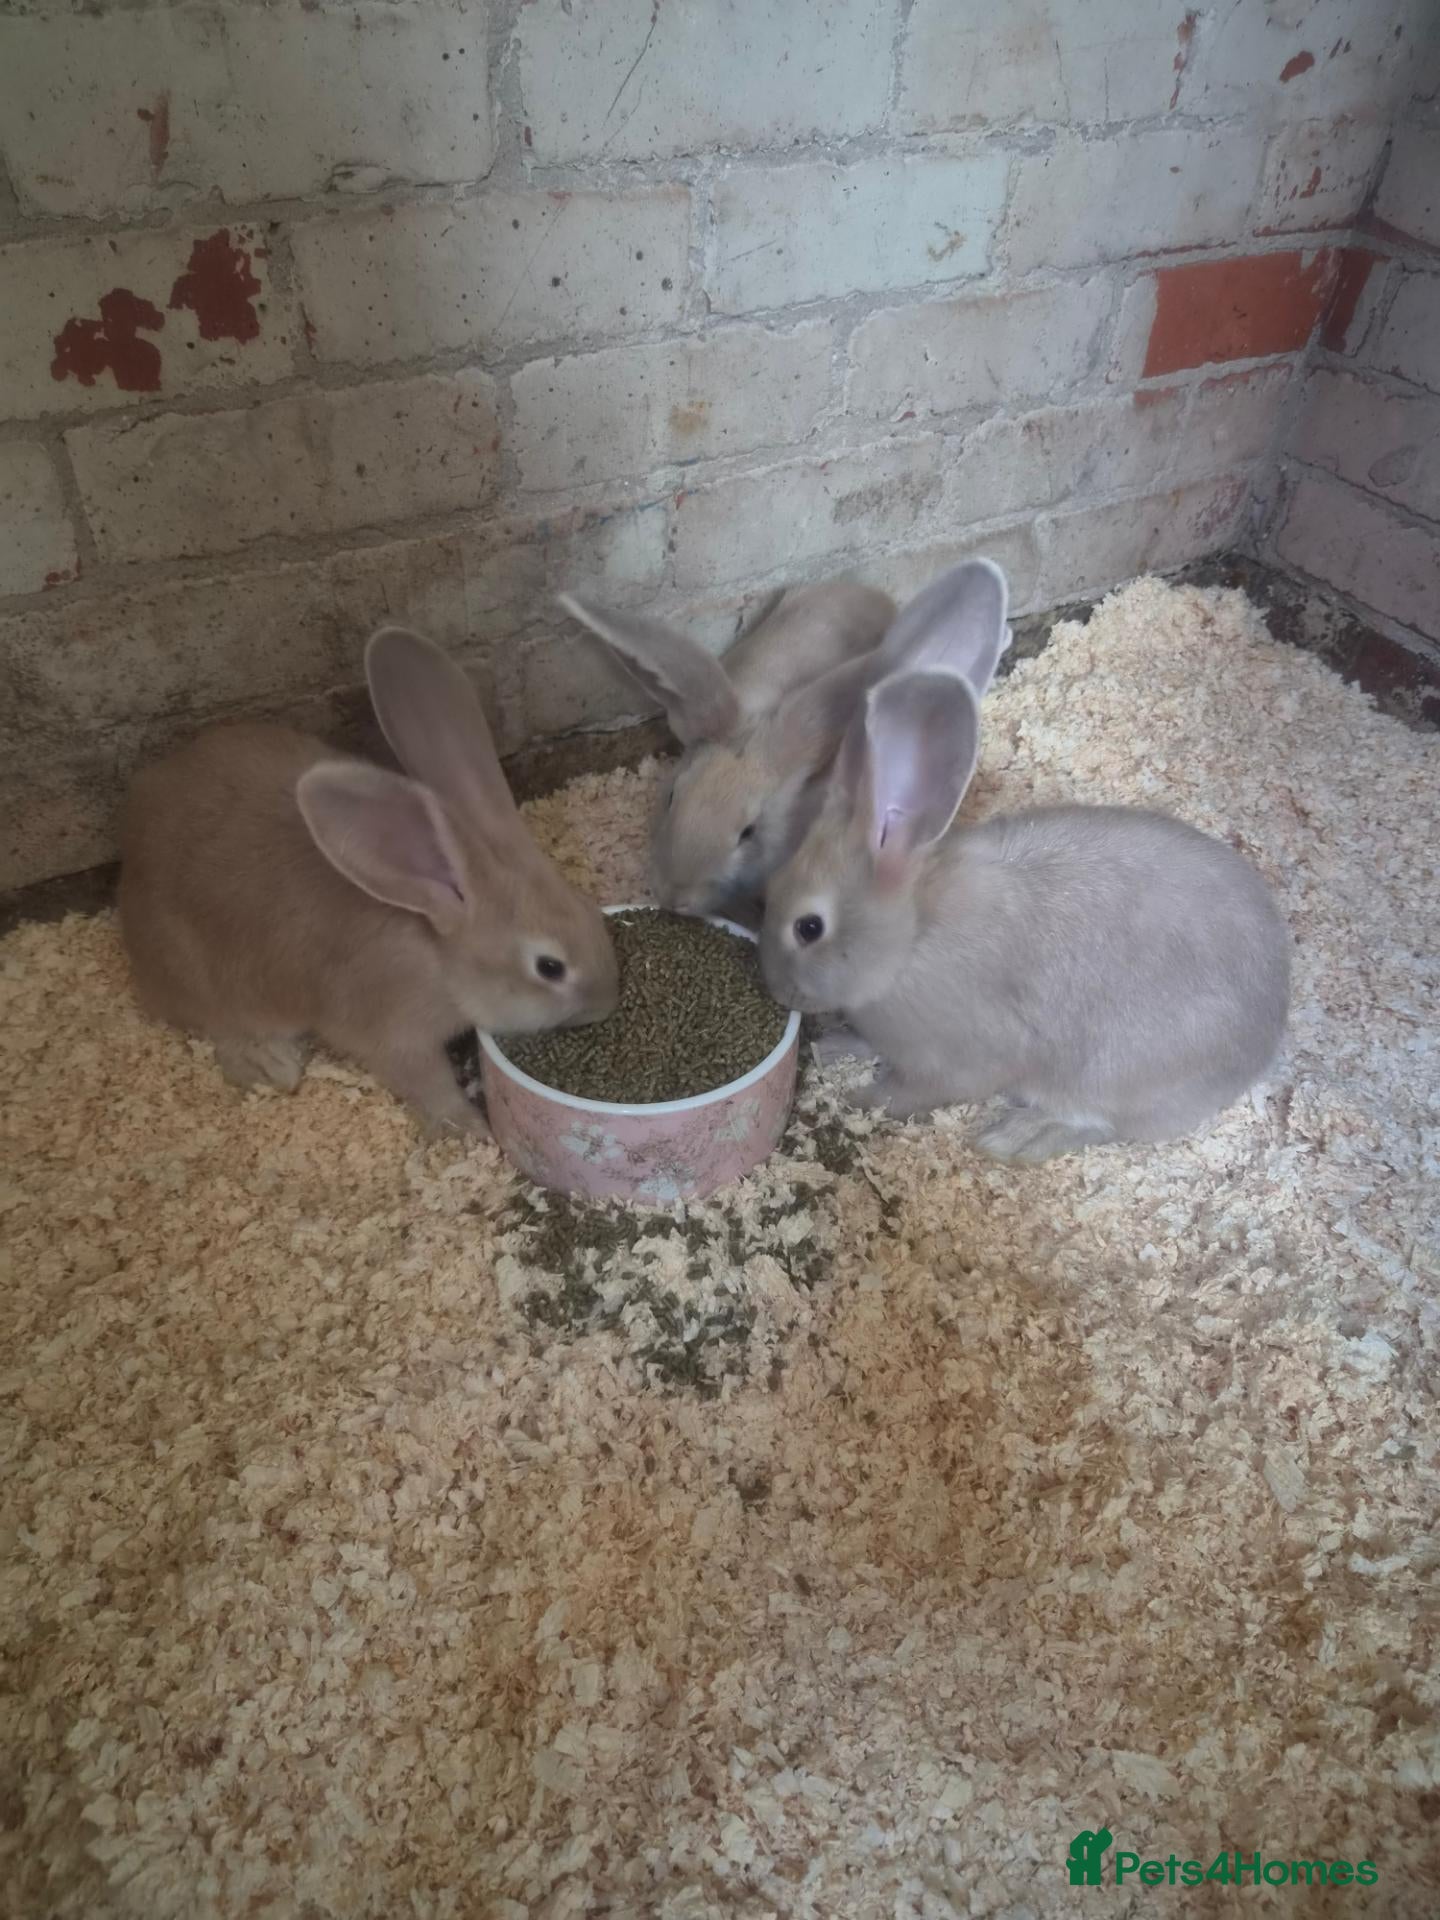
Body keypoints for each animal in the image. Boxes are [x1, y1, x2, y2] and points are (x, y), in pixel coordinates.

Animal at [119, 625, 619, 1137]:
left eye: (588, 907)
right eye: (550, 967)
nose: (609, 1002)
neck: (436, 949)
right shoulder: (392, 1030)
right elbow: (424, 1080)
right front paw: (467, 1128)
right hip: (213, 985)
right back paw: (271, 1066)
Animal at [759, 573, 1290, 1164]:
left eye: (809, 928)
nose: (775, 989)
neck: (912, 935)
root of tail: (1269, 1031)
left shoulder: (958, 1058)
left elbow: (911, 1091)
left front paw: (861, 1098)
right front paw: (837, 1046)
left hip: (1108, 1074)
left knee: (1093, 1123)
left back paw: (1011, 1137)